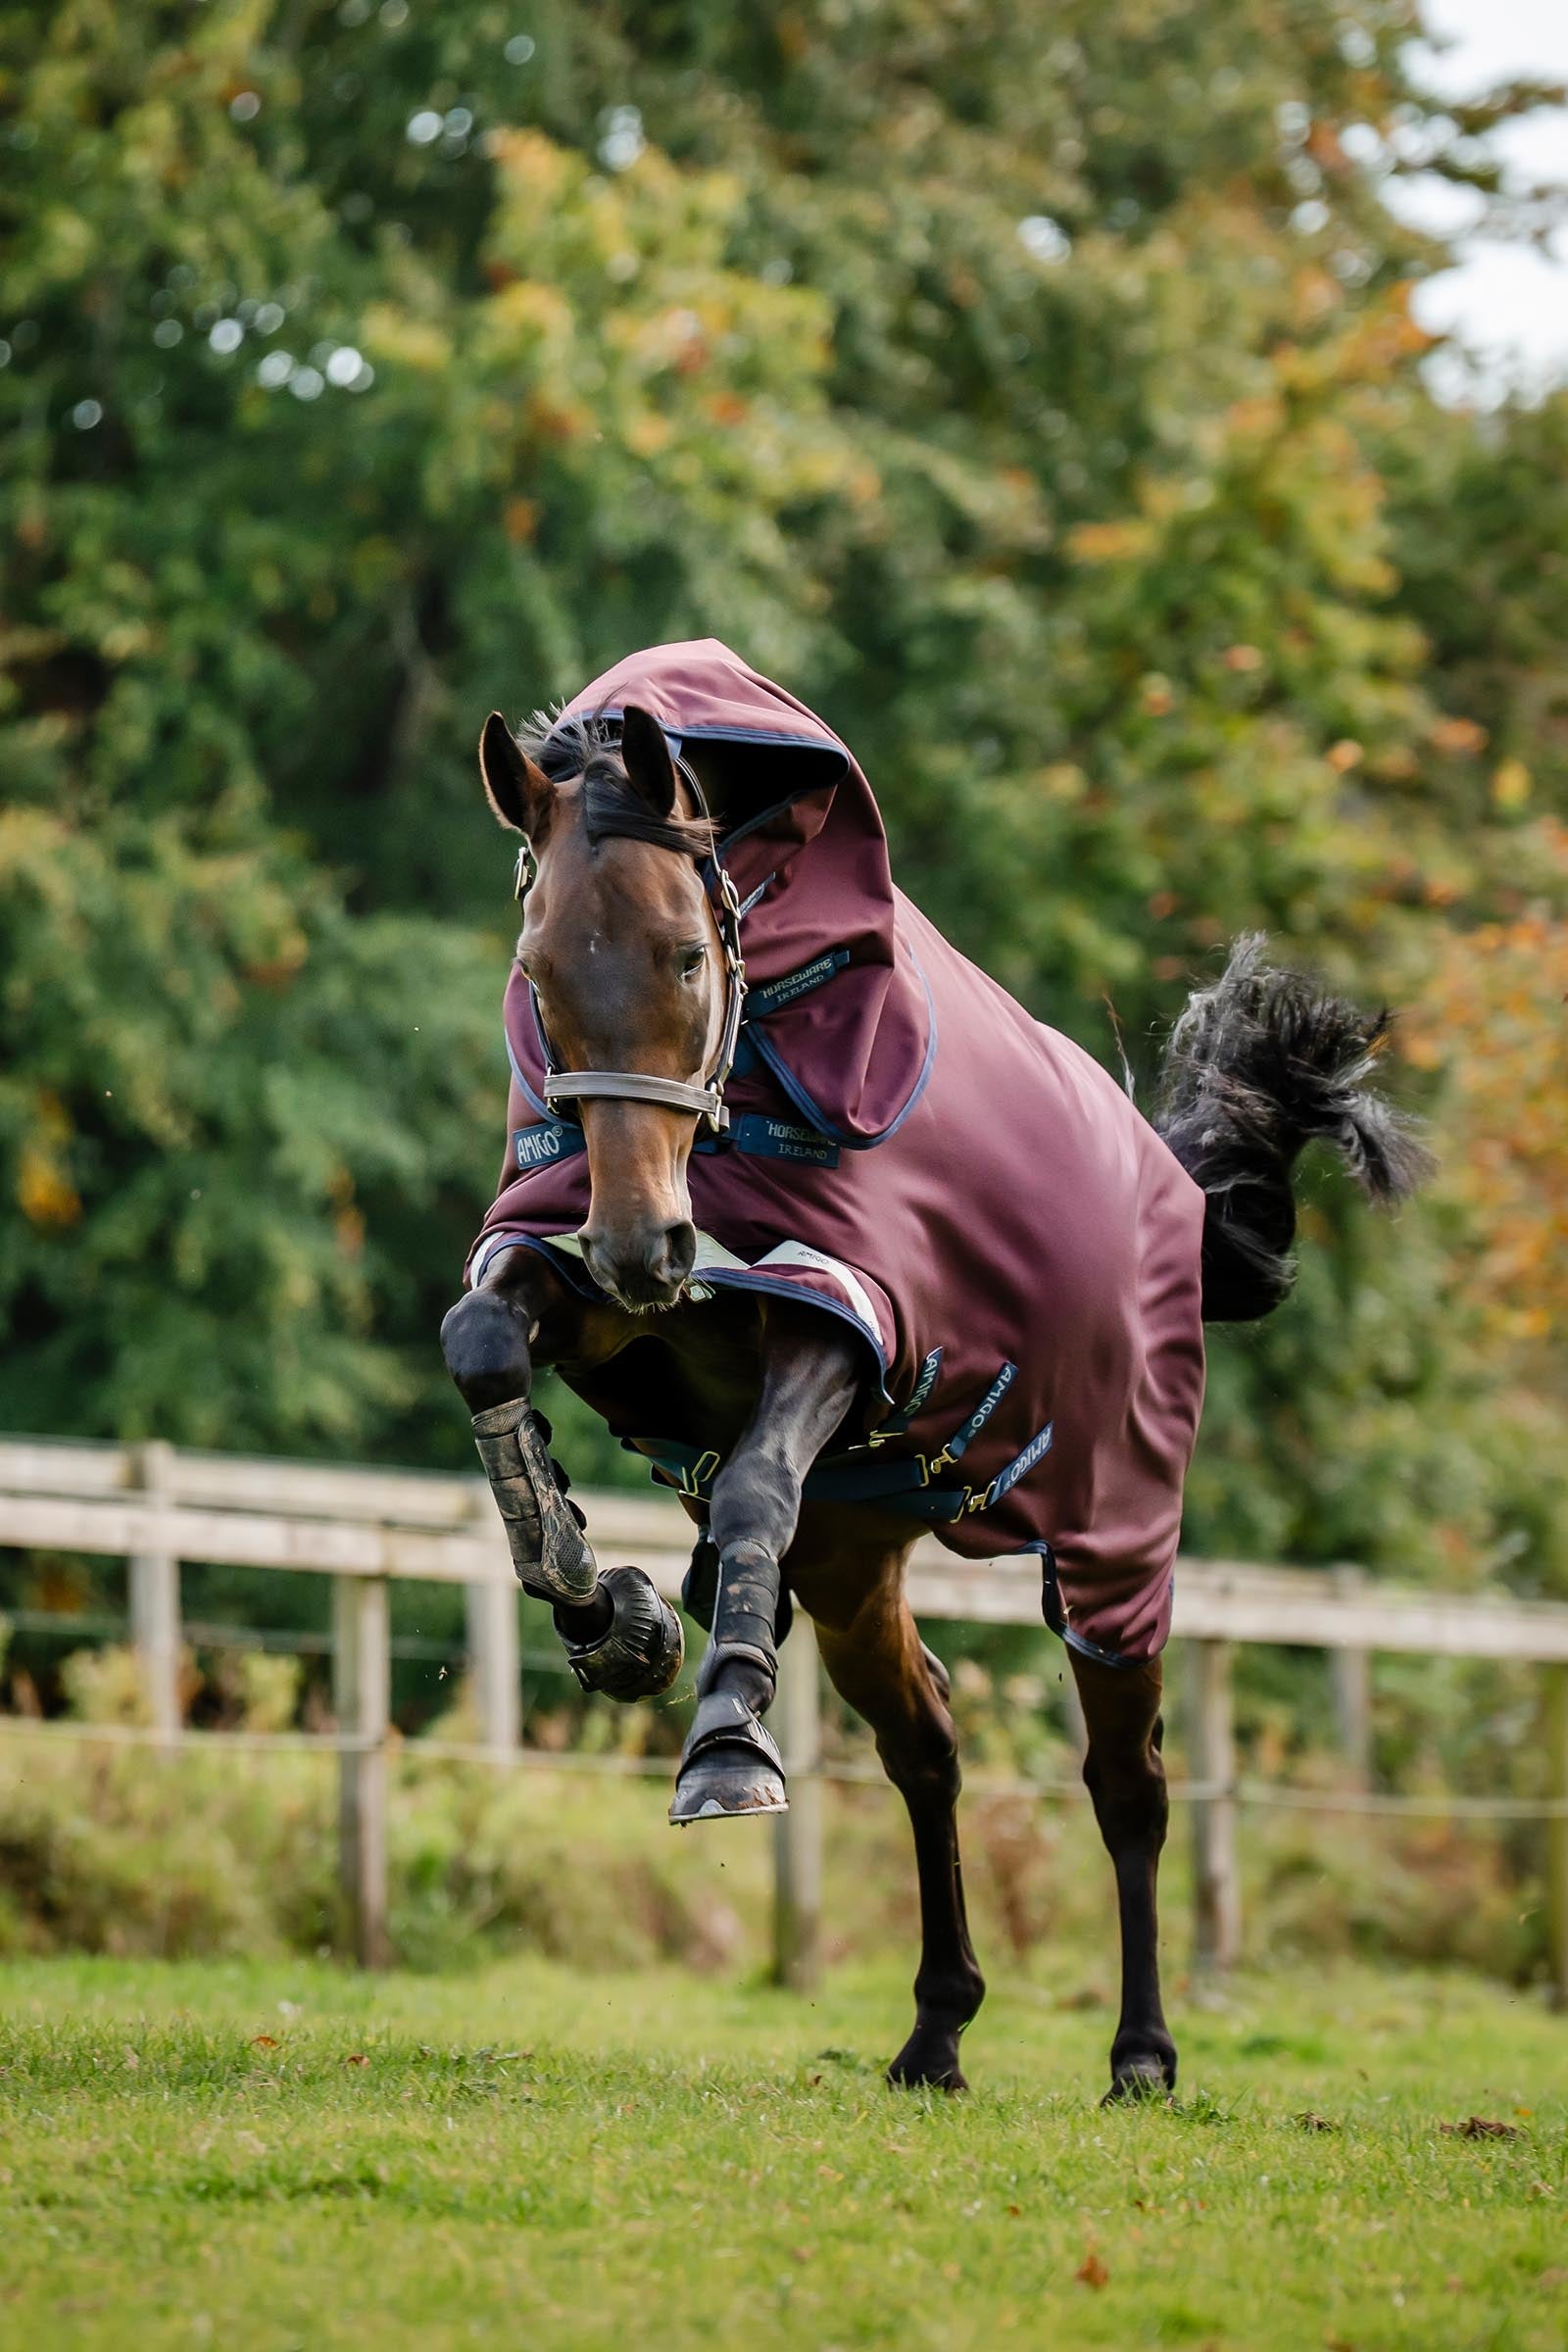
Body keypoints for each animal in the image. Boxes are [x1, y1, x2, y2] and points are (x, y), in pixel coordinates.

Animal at [439, 641, 1426, 2096]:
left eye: (683, 955)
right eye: (541, 969)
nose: (638, 1247)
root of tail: (1172, 1195)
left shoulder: (846, 1316)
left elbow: (752, 1485)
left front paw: (723, 1747)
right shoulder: (597, 1292)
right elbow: (485, 1345)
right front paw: (608, 1609)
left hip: (1117, 1546)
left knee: (1127, 1785)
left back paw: (1141, 2053)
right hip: (853, 1561)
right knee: (929, 1747)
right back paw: (935, 2029)